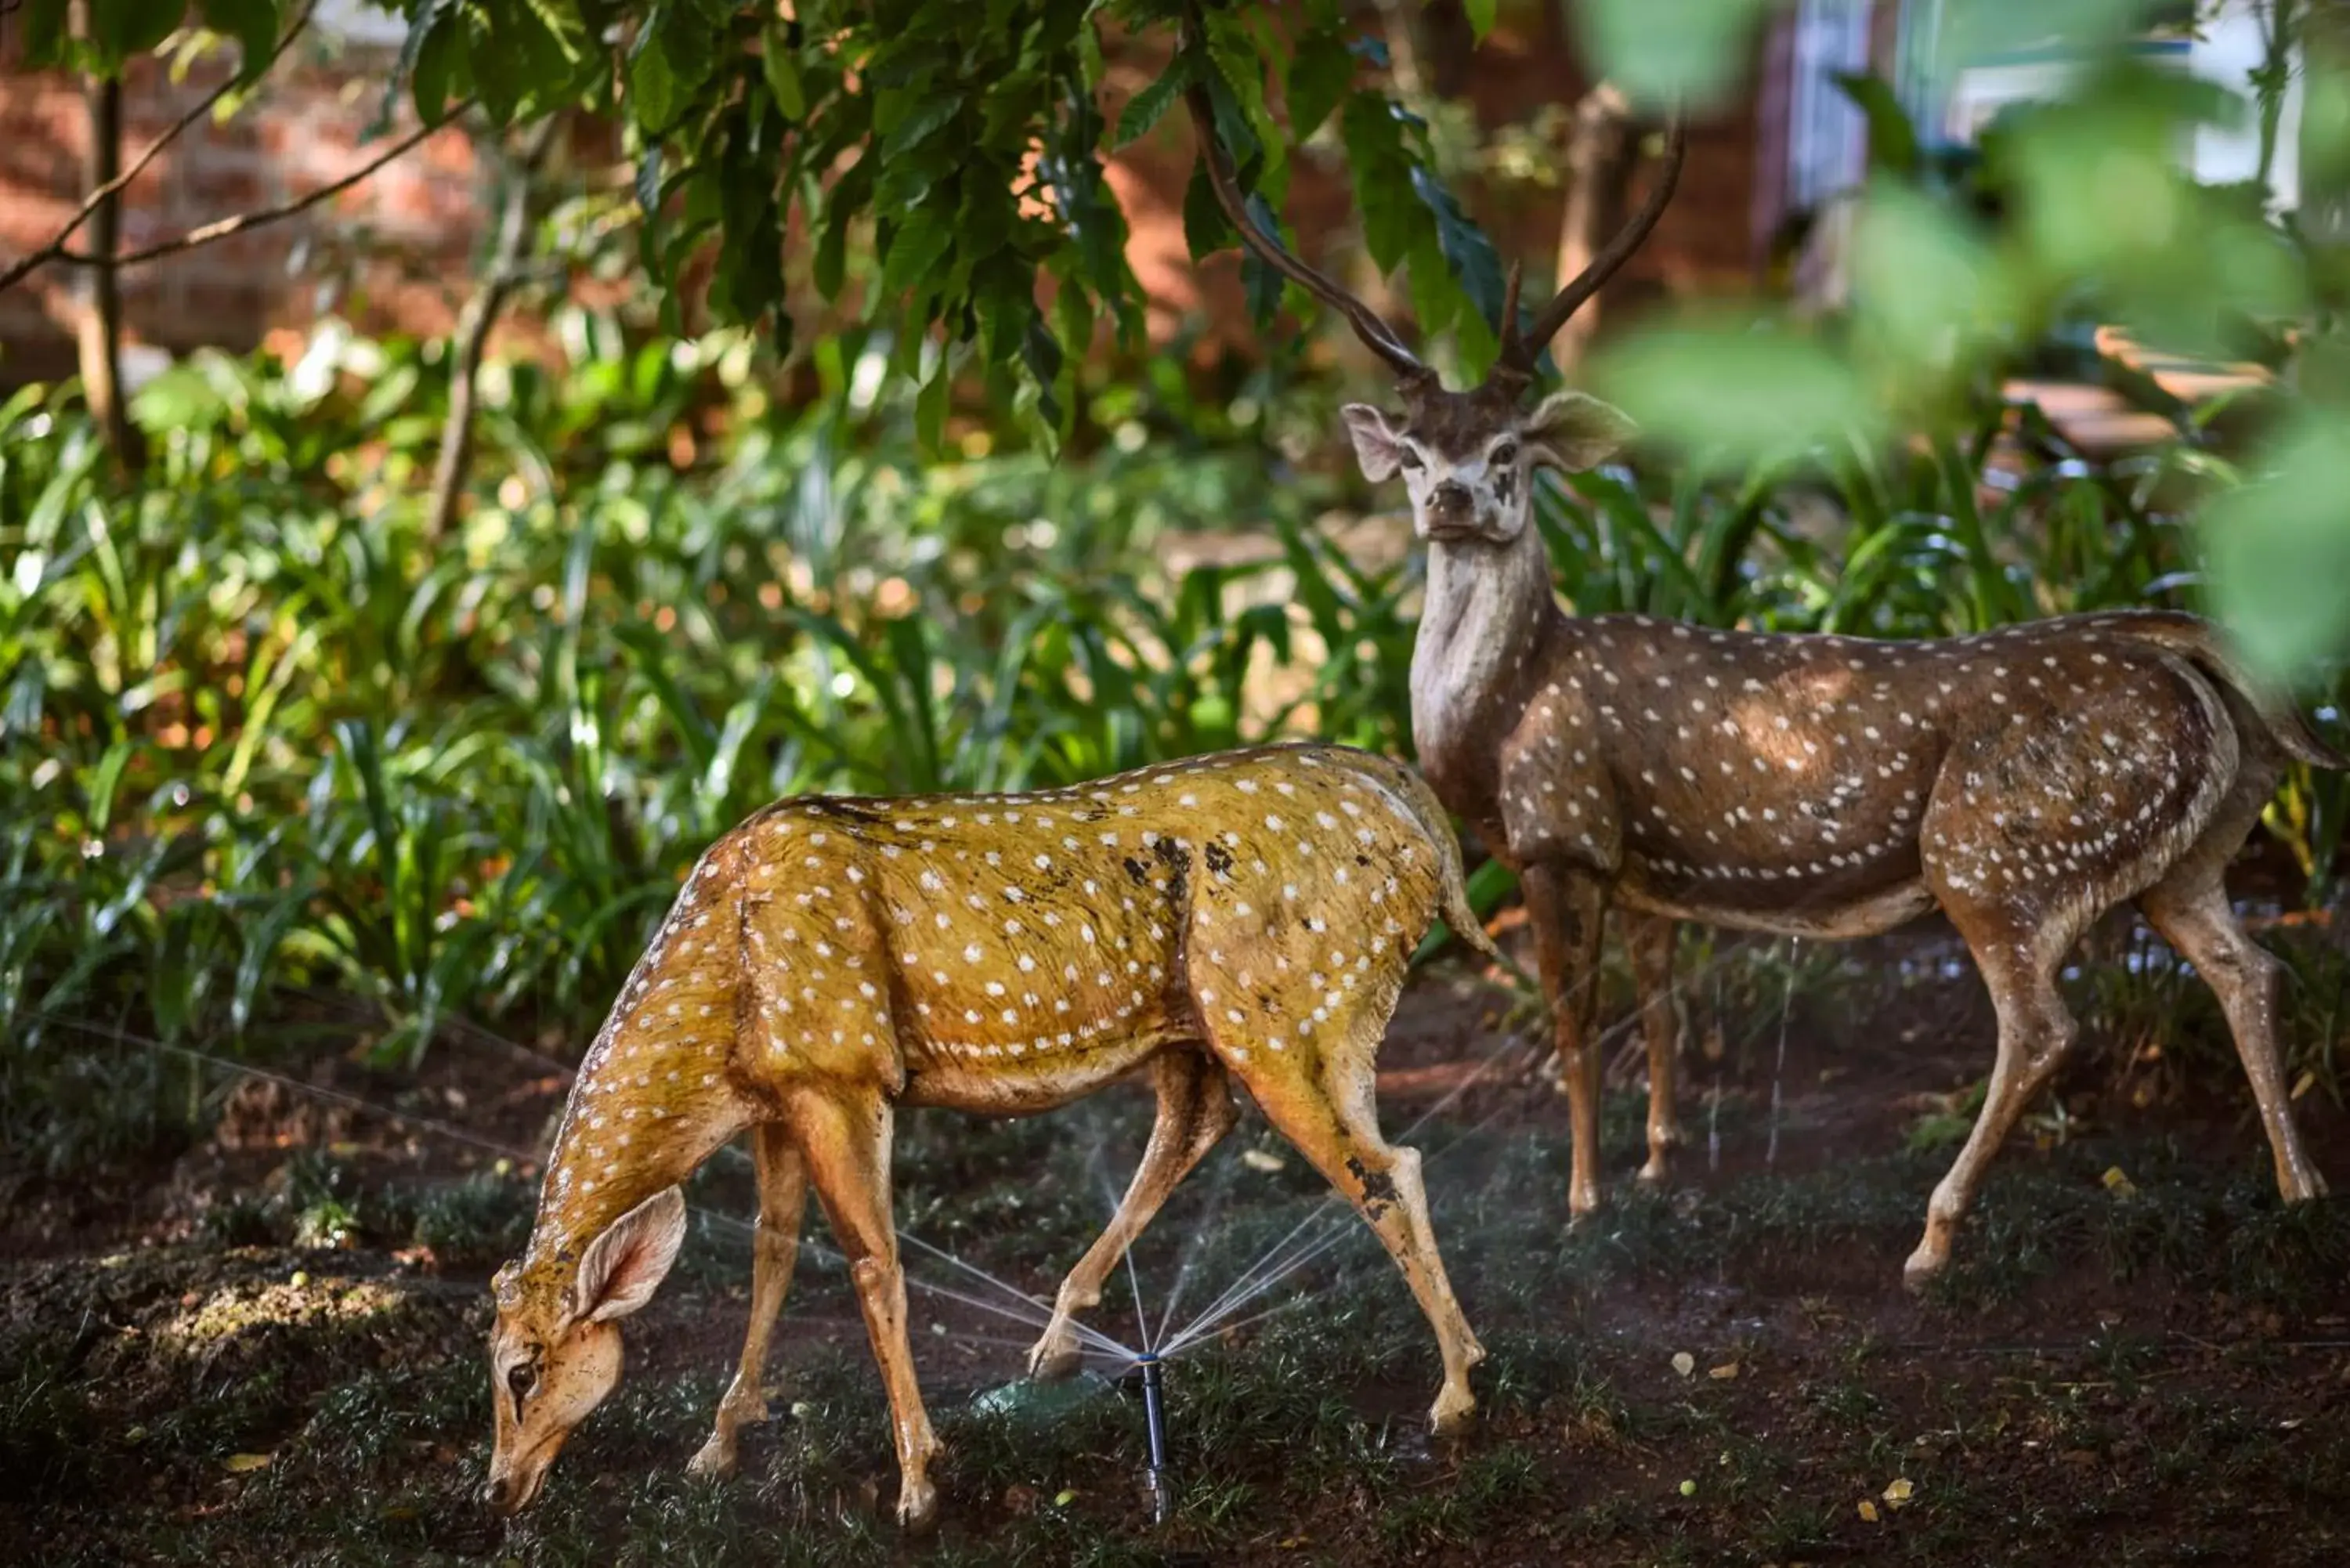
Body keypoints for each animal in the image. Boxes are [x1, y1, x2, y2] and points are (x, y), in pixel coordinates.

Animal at [484, 742, 1495, 1523]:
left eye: (520, 1371)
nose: (495, 1489)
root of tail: (1421, 824)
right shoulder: (780, 1095)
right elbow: (773, 1252)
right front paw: (718, 1447)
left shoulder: (843, 1071)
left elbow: (874, 1265)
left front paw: (918, 1483)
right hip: (1223, 1026)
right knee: (1207, 1122)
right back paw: (1058, 1342)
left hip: (1293, 1006)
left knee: (1383, 1166)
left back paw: (1455, 1392)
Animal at [1184, 82, 2341, 1288]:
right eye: (1411, 452)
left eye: (1509, 451)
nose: (1453, 497)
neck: (1497, 727)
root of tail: (2191, 650)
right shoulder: (1639, 861)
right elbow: (1654, 1004)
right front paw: (1658, 1161)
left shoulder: (1562, 831)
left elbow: (1572, 1021)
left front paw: (1582, 1199)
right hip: (2193, 845)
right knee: (2250, 969)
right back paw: (2299, 1186)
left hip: (1994, 850)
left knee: (2045, 1027)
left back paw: (1932, 1237)